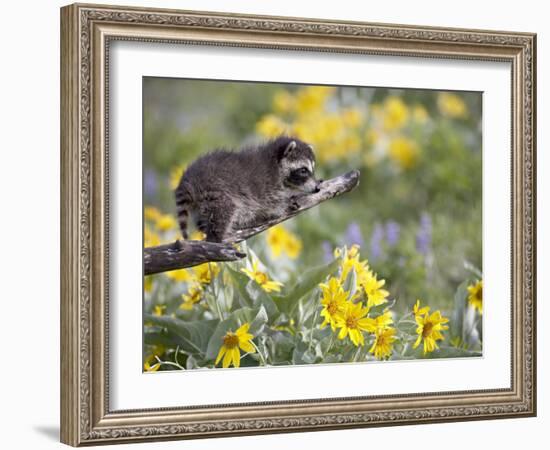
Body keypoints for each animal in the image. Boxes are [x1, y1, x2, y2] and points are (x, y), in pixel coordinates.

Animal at [176, 135, 324, 243]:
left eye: (312, 169)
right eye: (303, 170)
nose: (316, 188)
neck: (275, 163)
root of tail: (189, 179)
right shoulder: (268, 187)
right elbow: (273, 207)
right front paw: (289, 199)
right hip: (216, 189)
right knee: (226, 209)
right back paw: (218, 236)